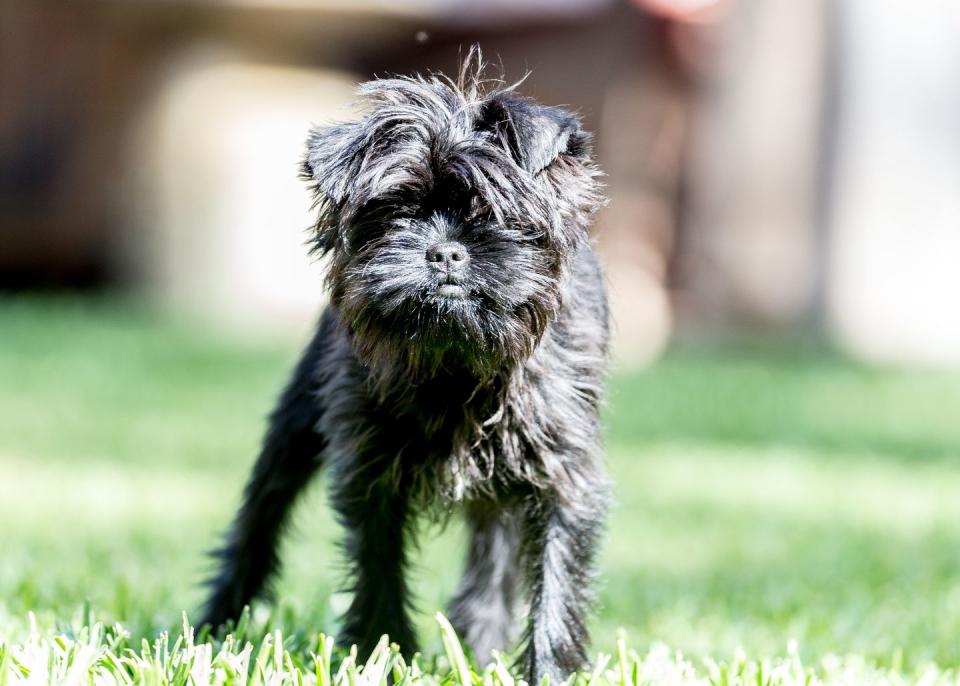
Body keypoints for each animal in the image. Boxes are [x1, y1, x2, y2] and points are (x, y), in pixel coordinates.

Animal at [199, 52, 612, 684]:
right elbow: (378, 570)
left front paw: (548, 672)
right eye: (395, 212)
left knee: (492, 561)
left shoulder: (563, 474)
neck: (457, 365)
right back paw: (214, 628)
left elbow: (556, 590)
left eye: (491, 213)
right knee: (260, 519)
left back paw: (479, 644)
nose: (442, 251)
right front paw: (381, 654)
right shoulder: (369, 470)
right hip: (295, 425)